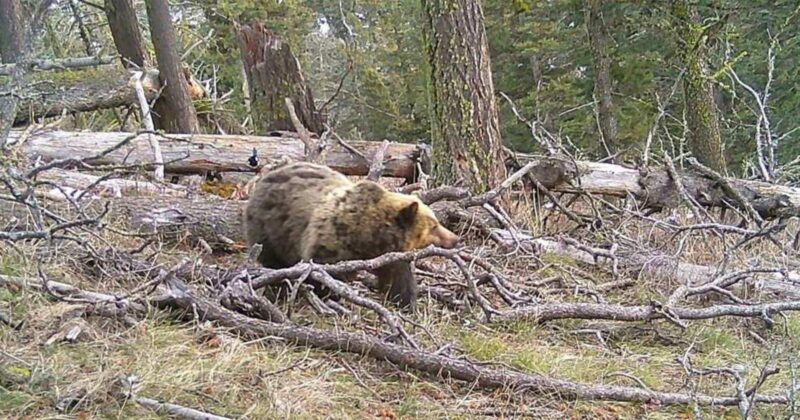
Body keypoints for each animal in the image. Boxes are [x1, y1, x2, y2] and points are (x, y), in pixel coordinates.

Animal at [242, 161, 459, 310]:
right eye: (434, 225)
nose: (455, 239)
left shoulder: (391, 258)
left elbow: (399, 280)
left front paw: (406, 303)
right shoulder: (331, 242)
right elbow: (323, 273)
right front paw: (328, 296)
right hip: (271, 228)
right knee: (274, 260)